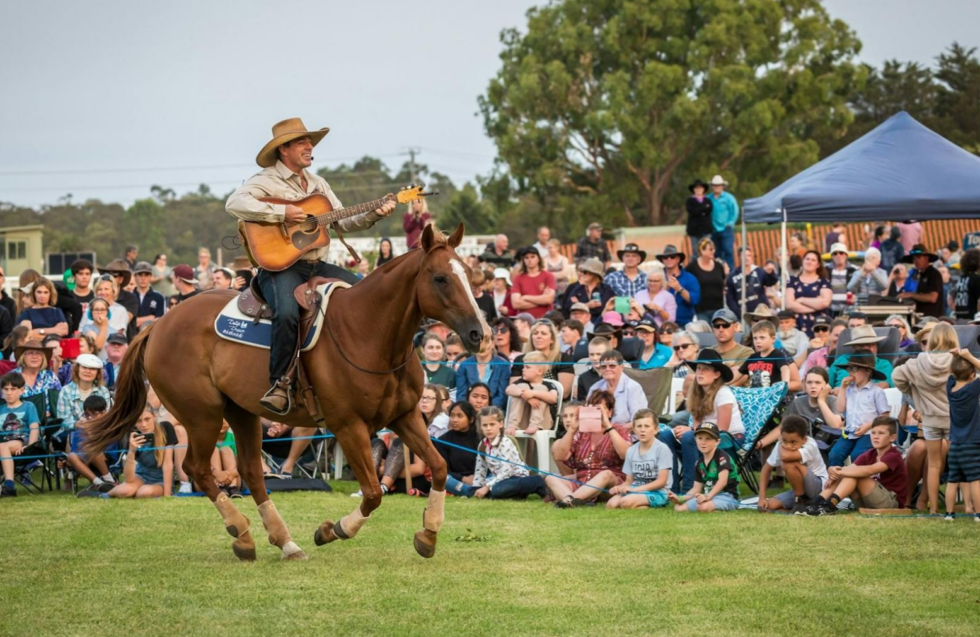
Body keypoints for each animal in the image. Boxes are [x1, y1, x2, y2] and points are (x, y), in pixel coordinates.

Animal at [86, 225, 490, 560]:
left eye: (470, 276)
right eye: (440, 278)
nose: (478, 334)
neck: (367, 333)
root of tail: (158, 326)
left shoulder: (404, 416)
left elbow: (438, 466)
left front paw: (428, 533)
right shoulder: (348, 426)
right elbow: (374, 493)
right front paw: (332, 530)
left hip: (241, 412)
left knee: (251, 472)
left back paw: (284, 542)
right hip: (202, 416)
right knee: (198, 470)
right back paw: (242, 532)